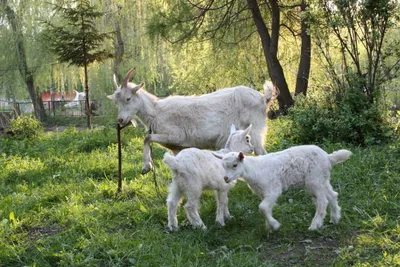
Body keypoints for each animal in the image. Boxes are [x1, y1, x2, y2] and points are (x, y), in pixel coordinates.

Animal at [106, 68, 276, 175]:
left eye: (128, 98)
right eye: (116, 102)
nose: (120, 120)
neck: (156, 111)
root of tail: (263, 98)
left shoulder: (175, 135)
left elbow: (147, 138)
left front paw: (146, 167)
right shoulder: (177, 147)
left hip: (254, 130)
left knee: (262, 153)